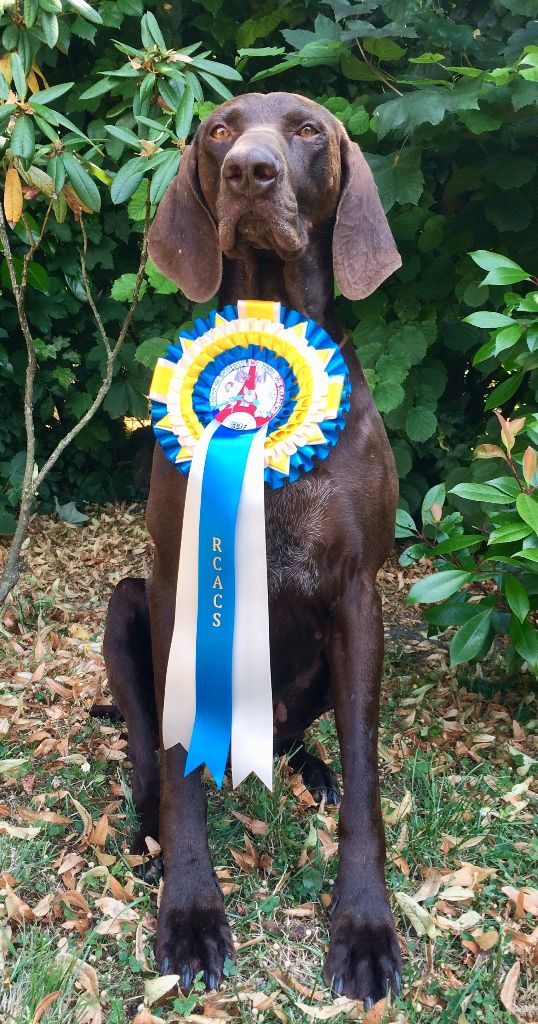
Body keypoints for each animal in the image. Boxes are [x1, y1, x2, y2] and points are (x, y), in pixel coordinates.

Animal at [102, 92, 399, 1003]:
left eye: (307, 130)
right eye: (220, 131)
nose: (249, 174)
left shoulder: (358, 595)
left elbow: (366, 782)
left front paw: (365, 927)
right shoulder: (173, 583)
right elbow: (176, 771)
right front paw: (191, 910)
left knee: (304, 736)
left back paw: (310, 768)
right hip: (124, 605)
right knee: (145, 750)